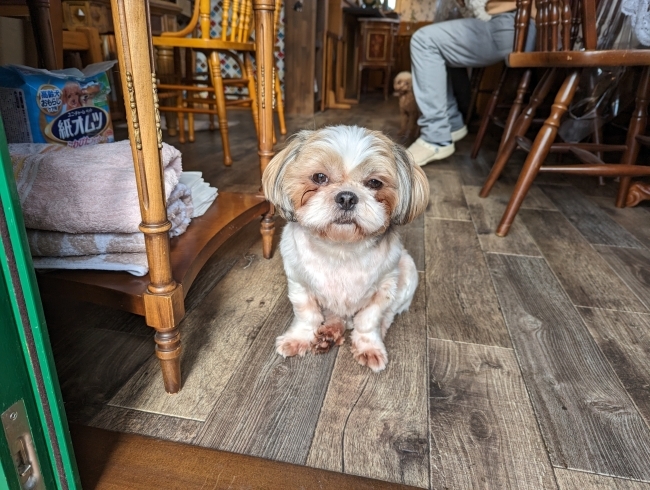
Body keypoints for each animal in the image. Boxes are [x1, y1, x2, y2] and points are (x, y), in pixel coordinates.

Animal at [260, 125, 428, 372]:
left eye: (375, 183)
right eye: (319, 177)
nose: (347, 197)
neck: (340, 248)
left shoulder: (384, 288)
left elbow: (369, 320)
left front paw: (369, 346)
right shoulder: (299, 284)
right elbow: (306, 315)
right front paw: (298, 338)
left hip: (407, 272)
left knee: (386, 315)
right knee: (335, 317)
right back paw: (329, 333)